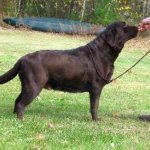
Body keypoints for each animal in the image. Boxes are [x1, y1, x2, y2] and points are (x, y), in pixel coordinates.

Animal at [0, 21, 138, 120]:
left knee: (17, 100)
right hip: (34, 86)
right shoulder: (96, 87)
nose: (137, 27)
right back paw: (21, 119)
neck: (103, 52)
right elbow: (95, 106)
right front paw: (96, 120)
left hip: (27, 85)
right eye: (125, 26)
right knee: (21, 103)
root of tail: (22, 59)